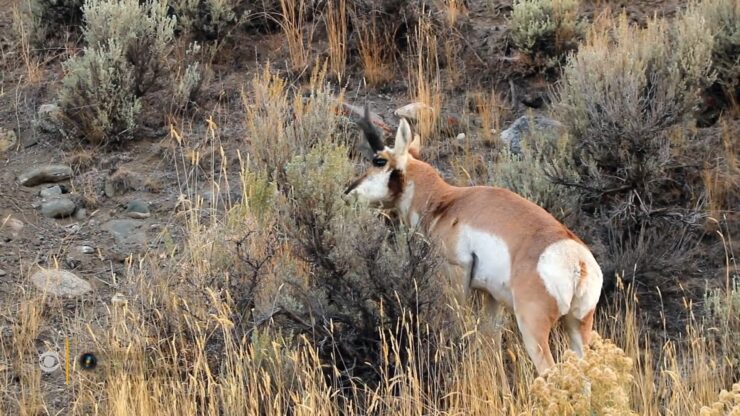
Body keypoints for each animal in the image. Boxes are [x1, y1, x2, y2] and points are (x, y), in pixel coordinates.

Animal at [344, 105, 604, 376]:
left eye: (379, 160)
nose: (347, 192)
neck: (446, 202)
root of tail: (577, 261)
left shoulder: (457, 278)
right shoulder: (491, 298)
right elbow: (491, 340)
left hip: (534, 330)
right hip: (578, 326)